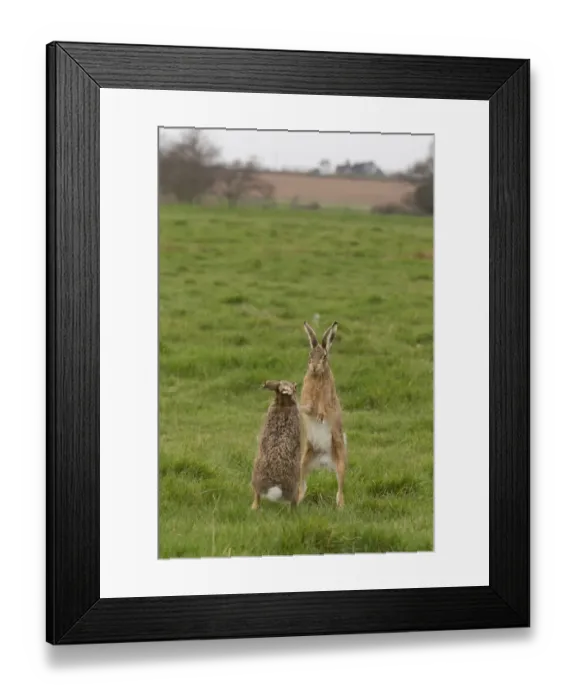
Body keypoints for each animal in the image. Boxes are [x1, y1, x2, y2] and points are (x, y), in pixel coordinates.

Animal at [298, 321, 348, 508]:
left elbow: (323, 406)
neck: (317, 376)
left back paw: (340, 508)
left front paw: (320, 416)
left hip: (340, 461)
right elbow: (306, 404)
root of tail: (324, 461)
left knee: (340, 490)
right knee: (303, 486)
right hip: (303, 461)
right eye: (310, 354)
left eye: (324, 356)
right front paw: (299, 408)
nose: (314, 366)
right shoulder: (306, 395)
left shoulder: (327, 399)